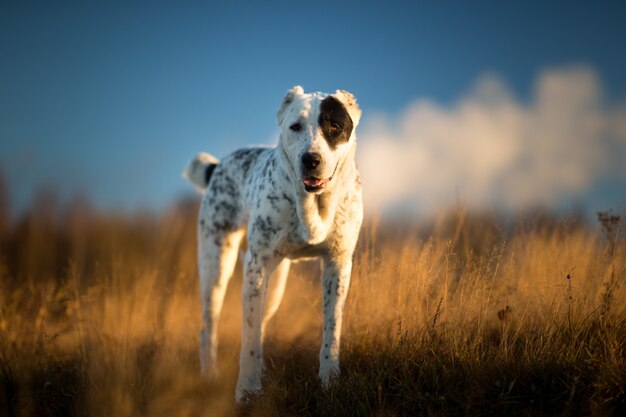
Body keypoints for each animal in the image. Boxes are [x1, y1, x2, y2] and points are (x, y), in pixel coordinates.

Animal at [183, 86, 364, 402]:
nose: (311, 159)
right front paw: (247, 389)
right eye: (295, 127)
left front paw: (329, 382)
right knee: (210, 327)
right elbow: (249, 337)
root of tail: (217, 166)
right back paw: (210, 376)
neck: (311, 208)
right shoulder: (256, 265)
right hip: (217, 265)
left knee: (262, 322)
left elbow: (332, 330)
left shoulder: (338, 265)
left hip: (275, 282)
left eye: (334, 126)